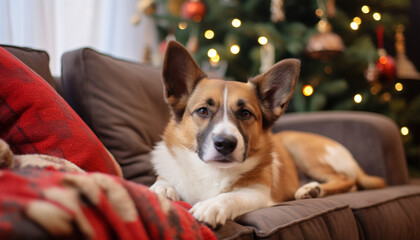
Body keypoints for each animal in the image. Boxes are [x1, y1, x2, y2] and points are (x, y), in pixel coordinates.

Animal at [149, 41, 386, 229]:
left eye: (245, 113)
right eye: (202, 111)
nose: (225, 144)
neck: (213, 171)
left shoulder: (258, 193)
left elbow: (230, 196)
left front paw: (212, 205)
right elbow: (160, 184)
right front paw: (161, 192)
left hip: (300, 149)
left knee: (346, 180)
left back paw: (312, 189)